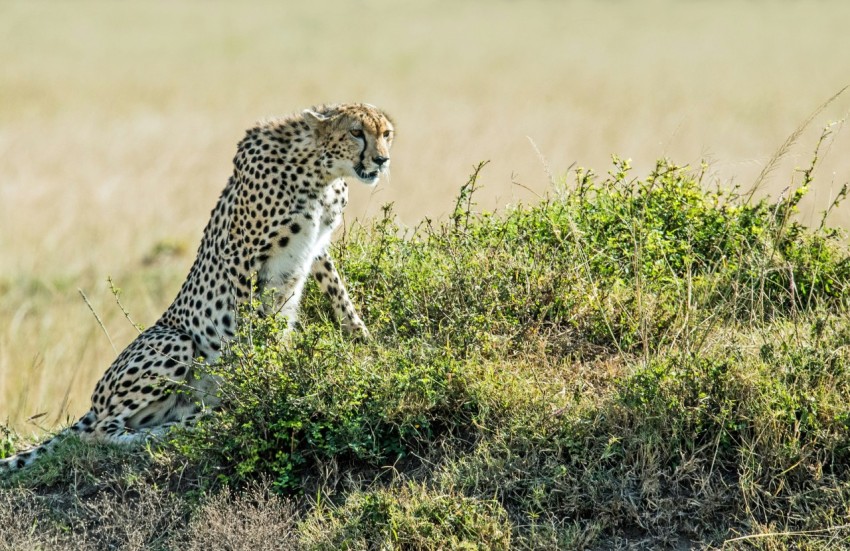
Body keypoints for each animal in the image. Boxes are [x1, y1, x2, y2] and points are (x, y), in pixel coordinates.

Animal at [1, 101, 394, 472]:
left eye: (386, 133)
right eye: (356, 132)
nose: (381, 159)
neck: (320, 170)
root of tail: (94, 405)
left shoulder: (318, 246)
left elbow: (340, 296)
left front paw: (366, 344)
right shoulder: (241, 254)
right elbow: (247, 327)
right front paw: (258, 378)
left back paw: (193, 419)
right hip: (175, 341)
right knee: (100, 433)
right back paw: (170, 431)